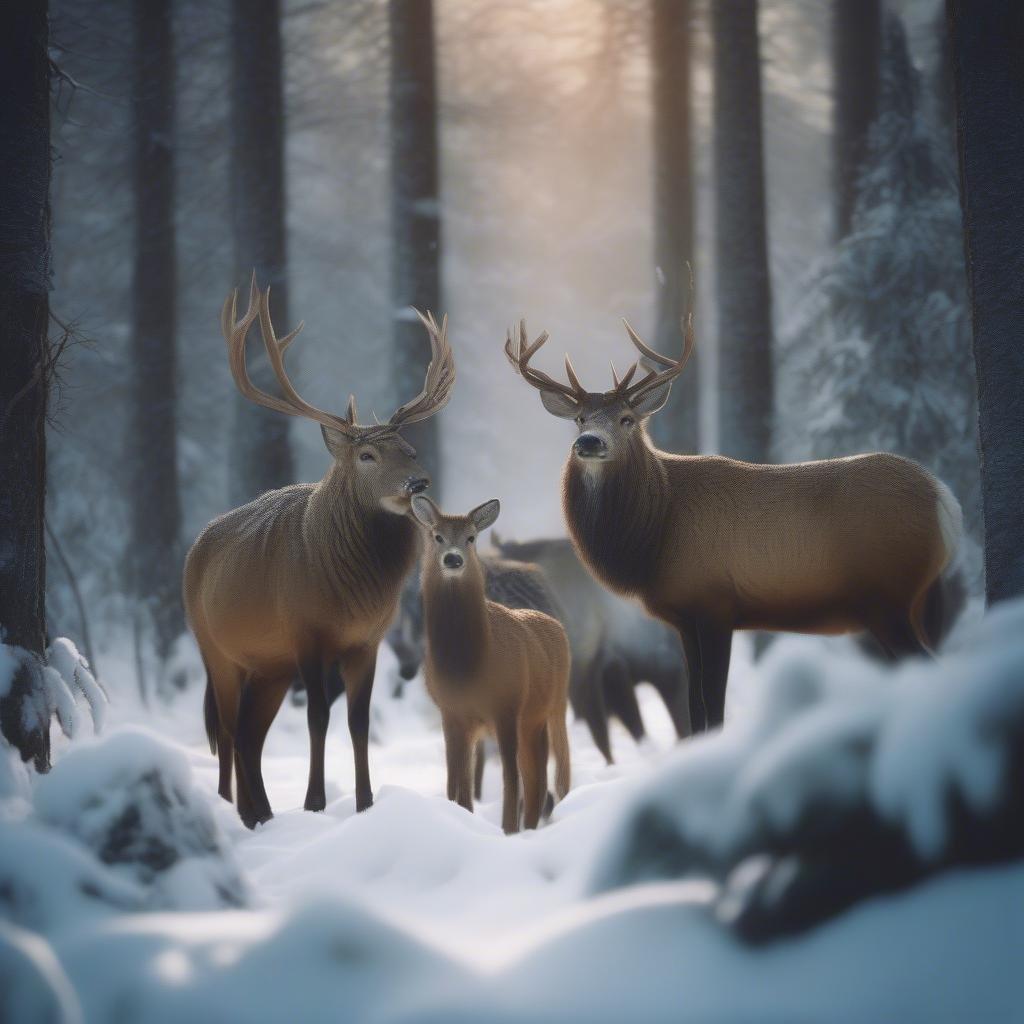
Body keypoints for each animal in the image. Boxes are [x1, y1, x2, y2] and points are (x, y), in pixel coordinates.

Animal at [185, 276, 456, 827]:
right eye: (367, 454)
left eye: (411, 450)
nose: (418, 481)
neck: (349, 593)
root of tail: (193, 551)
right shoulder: (305, 630)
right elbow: (317, 717)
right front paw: (314, 803)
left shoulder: (369, 640)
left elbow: (358, 720)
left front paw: (366, 802)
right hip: (214, 647)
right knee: (225, 729)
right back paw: (232, 810)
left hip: (268, 665)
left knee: (248, 736)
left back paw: (260, 813)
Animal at [411, 493, 573, 831]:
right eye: (437, 536)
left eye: (471, 537)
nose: (453, 559)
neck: (468, 665)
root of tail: (554, 624)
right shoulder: (452, 713)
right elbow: (456, 783)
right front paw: (461, 817)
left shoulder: (506, 706)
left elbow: (510, 778)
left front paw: (507, 829)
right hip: (530, 719)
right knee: (535, 776)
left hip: (551, 708)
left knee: (549, 775)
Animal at [507, 299, 962, 737]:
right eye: (580, 418)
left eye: (627, 419)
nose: (589, 442)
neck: (656, 530)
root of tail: (945, 499)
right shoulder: (684, 618)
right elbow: (695, 709)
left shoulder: (715, 602)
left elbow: (713, 705)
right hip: (916, 600)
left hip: (890, 596)